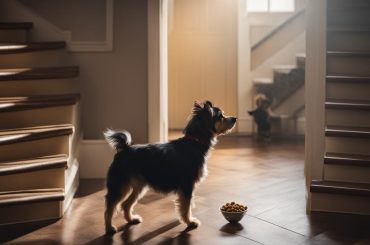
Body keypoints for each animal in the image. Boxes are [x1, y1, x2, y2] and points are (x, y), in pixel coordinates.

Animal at [104, 100, 237, 234]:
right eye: (220, 116)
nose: (235, 118)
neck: (195, 142)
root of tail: (124, 149)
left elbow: (185, 205)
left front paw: (187, 221)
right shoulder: (187, 185)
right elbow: (186, 206)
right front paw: (190, 222)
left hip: (139, 186)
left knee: (126, 204)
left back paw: (131, 219)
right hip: (119, 185)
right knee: (109, 207)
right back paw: (109, 228)